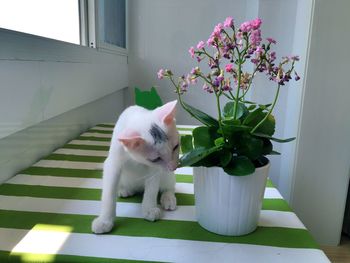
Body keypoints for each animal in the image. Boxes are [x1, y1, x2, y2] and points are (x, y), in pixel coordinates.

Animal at [91, 101, 179, 235]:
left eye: (176, 147)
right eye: (156, 159)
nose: (173, 167)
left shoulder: (154, 170)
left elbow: (152, 189)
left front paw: (149, 210)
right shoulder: (113, 163)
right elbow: (108, 194)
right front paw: (105, 221)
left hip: (167, 176)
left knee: (169, 187)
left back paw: (168, 198)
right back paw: (123, 190)